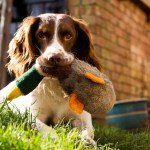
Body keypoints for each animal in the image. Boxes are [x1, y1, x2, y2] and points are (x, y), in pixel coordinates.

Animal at [0, 13, 102, 145]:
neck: (55, 86)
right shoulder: (31, 115)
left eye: (68, 36)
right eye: (41, 35)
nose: (54, 58)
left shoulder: (82, 117)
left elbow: (88, 131)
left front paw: (86, 141)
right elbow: (47, 129)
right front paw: (59, 141)